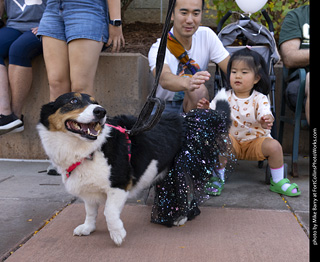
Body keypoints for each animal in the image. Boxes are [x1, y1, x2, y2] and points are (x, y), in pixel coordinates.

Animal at [37, 90, 228, 246]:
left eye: (95, 102)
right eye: (73, 101)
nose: (100, 111)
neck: (90, 149)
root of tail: (187, 117)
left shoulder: (119, 185)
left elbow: (109, 211)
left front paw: (117, 235)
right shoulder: (89, 190)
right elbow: (90, 211)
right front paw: (88, 228)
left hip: (182, 167)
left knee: (186, 192)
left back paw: (180, 217)